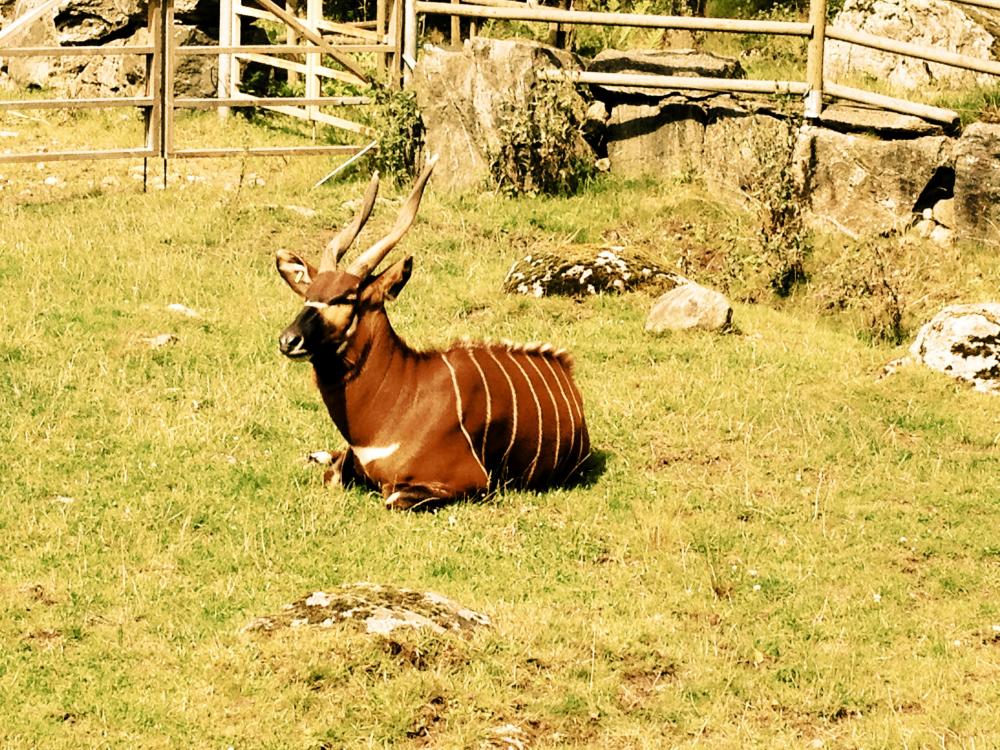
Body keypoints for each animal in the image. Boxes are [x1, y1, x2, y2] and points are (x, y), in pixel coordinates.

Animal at [275, 158, 591, 510]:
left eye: (346, 297)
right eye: (308, 294)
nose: (288, 340)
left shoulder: (469, 482)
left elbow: (391, 496)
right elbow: (332, 474)